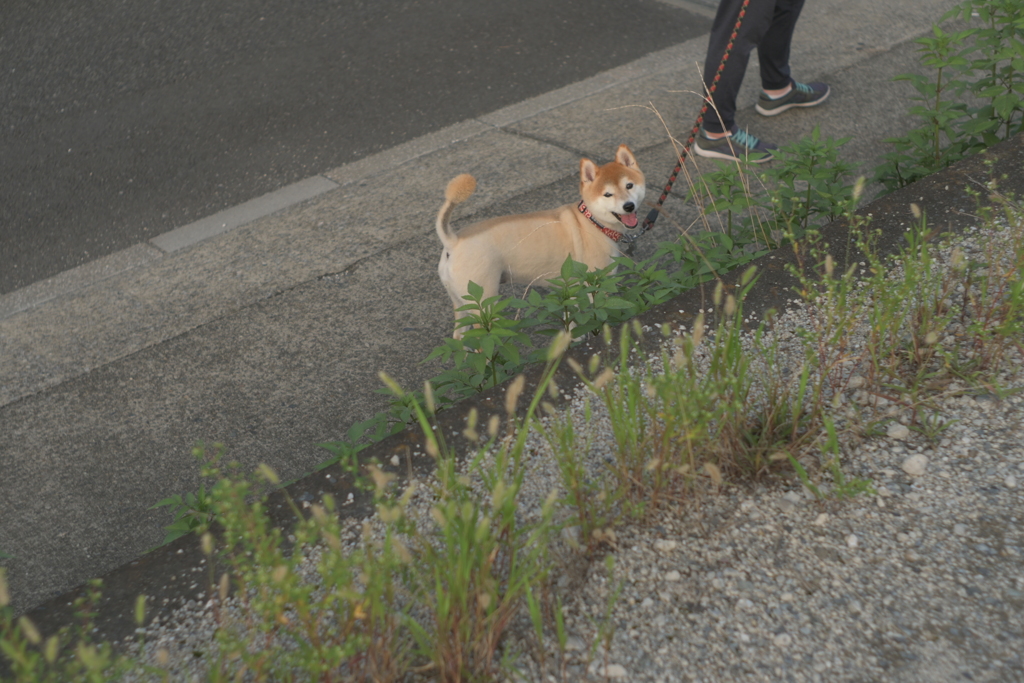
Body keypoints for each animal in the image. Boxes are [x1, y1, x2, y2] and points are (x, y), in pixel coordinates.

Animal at [434, 145, 643, 337]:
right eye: (607, 194)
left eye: (629, 186)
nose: (628, 206)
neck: (593, 222)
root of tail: (453, 240)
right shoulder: (596, 287)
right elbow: (596, 317)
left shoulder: (571, 292)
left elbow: (572, 323)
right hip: (484, 305)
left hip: (461, 306)